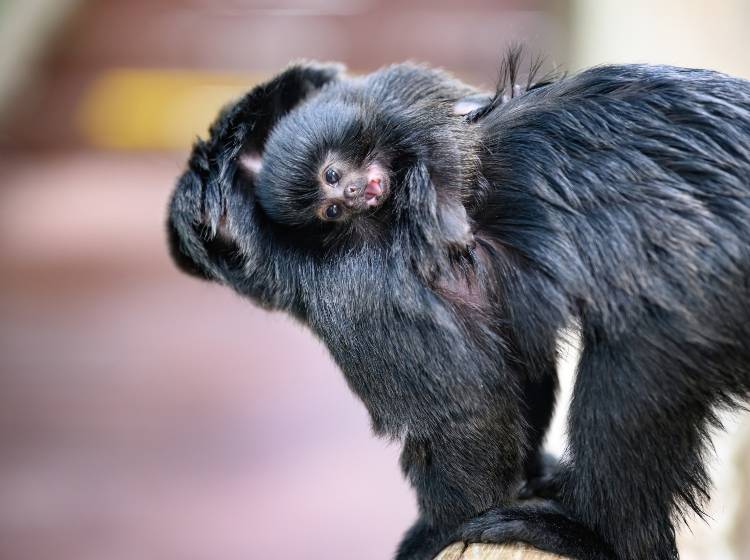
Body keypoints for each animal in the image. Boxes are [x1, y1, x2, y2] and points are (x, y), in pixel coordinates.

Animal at [167, 55, 750, 560]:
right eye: (329, 206)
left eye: (334, 178)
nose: (354, 195)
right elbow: (516, 370)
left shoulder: (360, 287)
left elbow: (471, 409)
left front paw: (436, 530)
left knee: (625, 392)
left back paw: (598, 540)